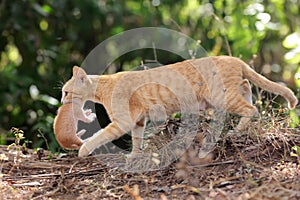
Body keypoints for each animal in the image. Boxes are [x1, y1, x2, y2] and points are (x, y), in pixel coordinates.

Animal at [61, 55, 298, 157]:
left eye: (66, 92)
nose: (62, 101)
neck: (104, 86)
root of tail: (233, 58)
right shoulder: (138, 121)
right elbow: (137, 140)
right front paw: (134, 155)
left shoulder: (124, 121)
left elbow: (99, 135)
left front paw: (83, 149)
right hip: (231, 91)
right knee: (248, 88)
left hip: (222, 97)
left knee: (252, 109)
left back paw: (237, 132)